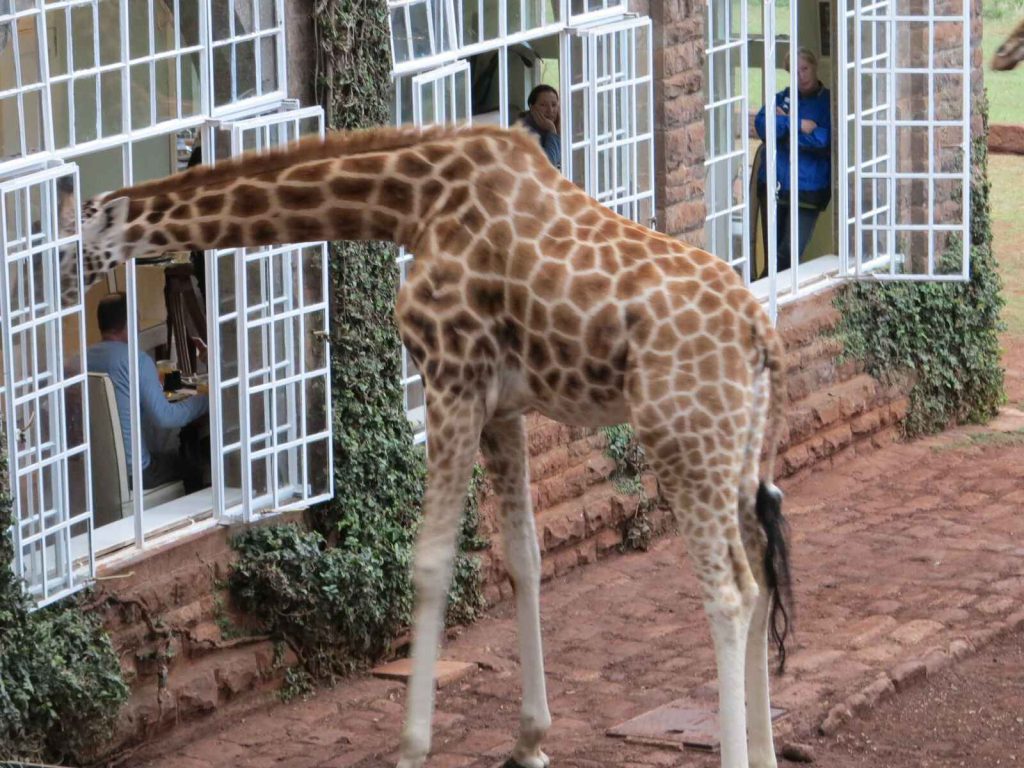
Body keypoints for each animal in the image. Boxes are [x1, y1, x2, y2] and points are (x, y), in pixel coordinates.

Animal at [63, 123, 794, 768]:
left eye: (72, 237)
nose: (65, 297)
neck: (411, 203)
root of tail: (761, 334)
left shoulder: (451, 378)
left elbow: (432, 563)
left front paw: (412, 748)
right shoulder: (503, 406)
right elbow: (523, 556)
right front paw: (530, 740)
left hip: (683, 438)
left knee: (729, 592)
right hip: (737, 447)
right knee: (761, 571)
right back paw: (764, 753)